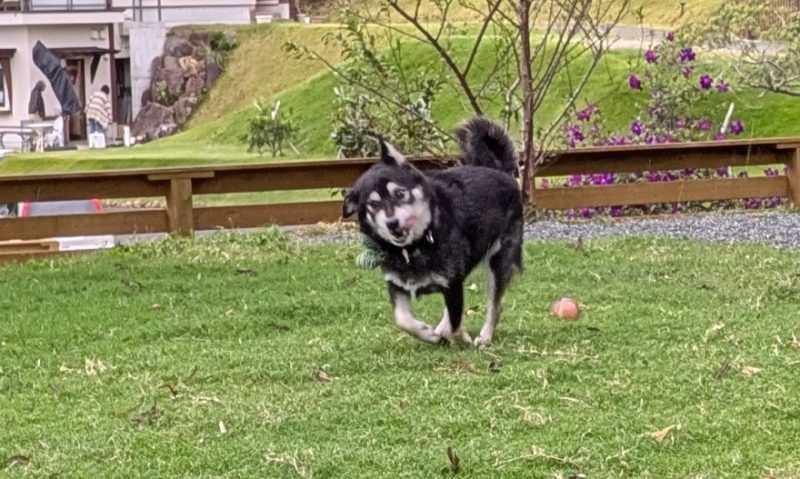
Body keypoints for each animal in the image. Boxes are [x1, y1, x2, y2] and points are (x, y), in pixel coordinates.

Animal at [344, 118, 524, 346]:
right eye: (373, 205)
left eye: (400, 193)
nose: (392, 223)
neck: (416, 247)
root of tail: (501, 171)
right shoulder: (397, 285)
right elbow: (402, 319)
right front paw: (427, 333)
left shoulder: (452, 284)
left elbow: (456, 323)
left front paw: (460, 338)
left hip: (499, 261)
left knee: (495, 304)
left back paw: (484, 337)